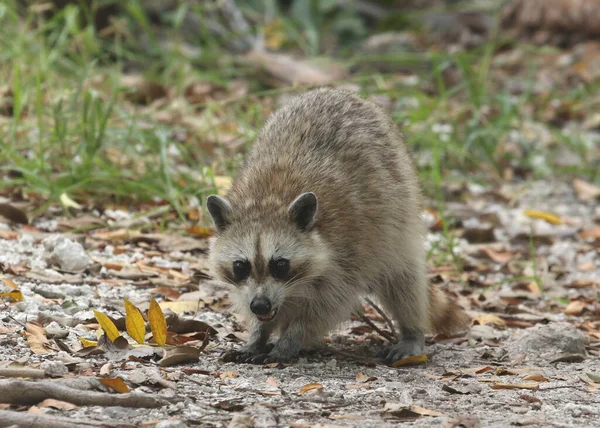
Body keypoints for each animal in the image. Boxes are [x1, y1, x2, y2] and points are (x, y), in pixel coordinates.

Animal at [206, 87, 468, 364]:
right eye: (240, 266)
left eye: (280, 265)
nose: (260, 305)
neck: (267, 200)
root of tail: (338, 91)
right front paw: (258, 336)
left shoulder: (347, 253)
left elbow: (326, 308)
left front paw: (289, 341)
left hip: (400, 210)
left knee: (404, 280)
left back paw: (411, 331)